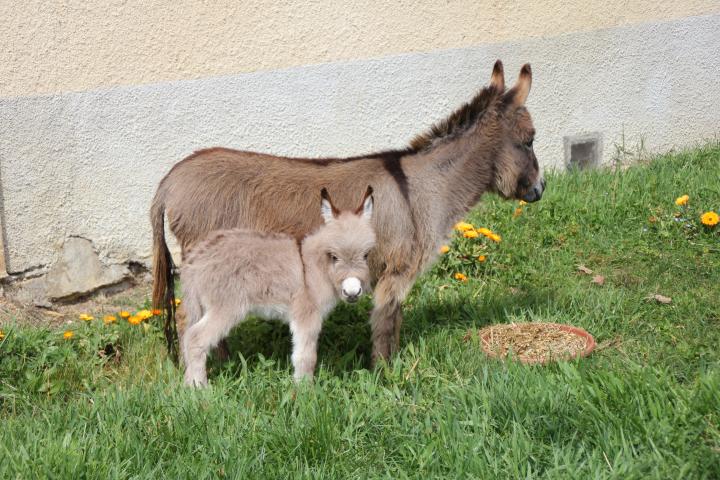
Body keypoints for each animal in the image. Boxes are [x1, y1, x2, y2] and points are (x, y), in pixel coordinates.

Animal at [180, 188, 376, 386]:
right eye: (333, 256)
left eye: (366, 255)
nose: (352, 292)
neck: (315, 266)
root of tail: (196, 258)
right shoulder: (307, 314)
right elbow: (306, 357)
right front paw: (304, 388)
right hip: (226, 307)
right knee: (194, 339)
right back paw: (199, 387)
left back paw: (189, 383)